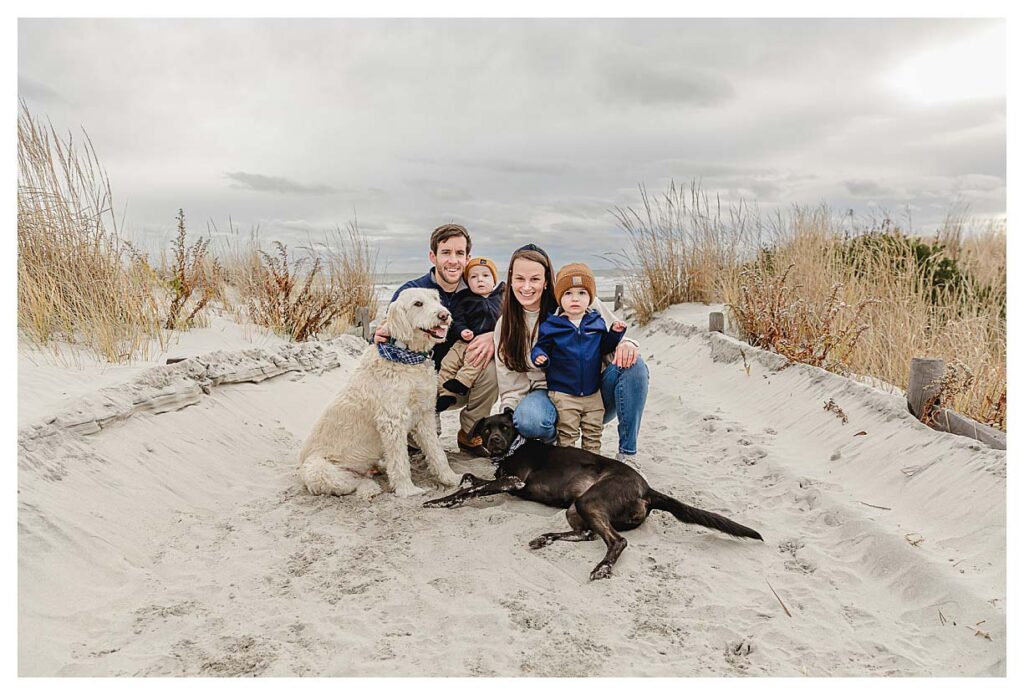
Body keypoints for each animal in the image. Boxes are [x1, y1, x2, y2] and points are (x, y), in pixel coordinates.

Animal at [299, 288, 462, 499]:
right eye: (418, 303)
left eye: (435, 299)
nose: (444, 315)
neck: (407, 358)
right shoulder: (392, 421)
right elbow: (400, 461)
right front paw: (408, 490)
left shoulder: (425, 416)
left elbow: (437, 452)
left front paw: (451, 478)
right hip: (318, 470)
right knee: (352, 482)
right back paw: (370, 487)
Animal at [419, 407, 765, 581]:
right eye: (486, 428)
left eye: (504, 427)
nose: (493, 442)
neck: (513, 449)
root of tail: (646, 488)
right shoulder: (503, 479)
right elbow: (470, 478)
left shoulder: (513, 481)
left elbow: (473, 489)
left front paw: (438, 502)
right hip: (576, 508)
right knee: (587, 534)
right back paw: (545, 537)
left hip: (591, 501)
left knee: (616, 541)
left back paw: (602, 568)